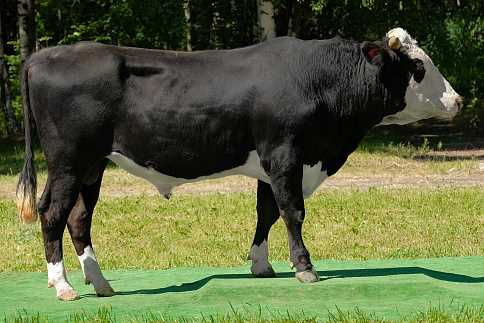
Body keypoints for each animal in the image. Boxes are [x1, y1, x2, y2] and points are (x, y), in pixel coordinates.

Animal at [16, 36, 424, 302]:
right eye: (417, 68)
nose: (447, 98)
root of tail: (42, 56)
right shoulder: (286, 154)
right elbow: (292, 211)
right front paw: (304, 267)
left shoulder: (270, 164)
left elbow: (266, 212)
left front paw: (261, 265)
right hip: (68, 160)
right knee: (52, 212)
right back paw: (64, 286)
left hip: (92, 166)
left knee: (78, 217)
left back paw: (100, 284)